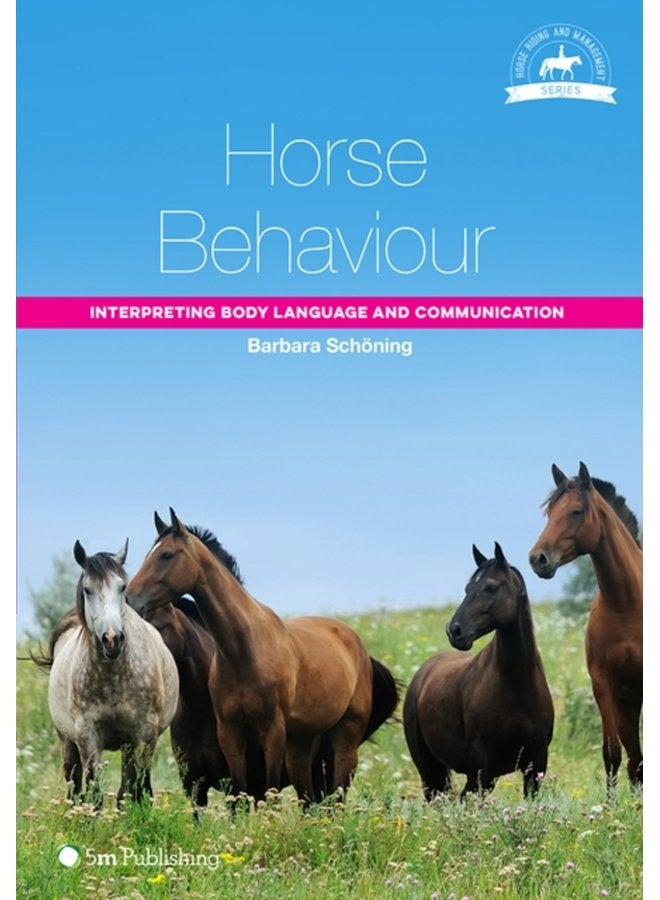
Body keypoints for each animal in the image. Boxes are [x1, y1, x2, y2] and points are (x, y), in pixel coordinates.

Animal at [39, 540, 179, 805]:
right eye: (87, 589)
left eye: (121, 587)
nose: (112, 639)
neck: (113, 677)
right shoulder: (87, 735)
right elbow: (94, 794)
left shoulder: (142, 734)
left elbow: (136, 791)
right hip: (67, 741)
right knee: (74, 787)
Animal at [127, 509, 400, 806]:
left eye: (166, 555)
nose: (129, 598)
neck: (243, 653)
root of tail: (356, 644)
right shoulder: (230, 734)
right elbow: (240, 792)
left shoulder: (272, 732)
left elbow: (268, 790)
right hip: (302, 746)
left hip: (344, 741)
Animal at [403, 543, 554, 800]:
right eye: (468, 588)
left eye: (491, 587)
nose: (454, 631)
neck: (517, 685)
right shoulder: (481, 765)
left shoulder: (536, 763)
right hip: (429, 767)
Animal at [529, 462, 642, 791]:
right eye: (549, 513)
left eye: (576, 511)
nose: (537, 559)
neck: (625, 605)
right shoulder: (603, 683)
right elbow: (611, 754)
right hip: (628, 703)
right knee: (635, 761)